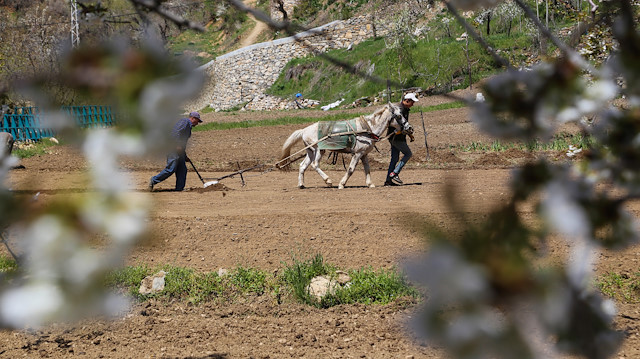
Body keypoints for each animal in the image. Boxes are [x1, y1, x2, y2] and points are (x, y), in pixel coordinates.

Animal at [278, 102, 410, 190]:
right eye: (399, 115)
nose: (409, 127)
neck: (367, 128)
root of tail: (304, 130)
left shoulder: (364, 154)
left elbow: (367, 169)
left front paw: (370, 184)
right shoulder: (357, 154)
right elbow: (351, 169)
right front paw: (342, 184)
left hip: (310, 151)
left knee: (302, 166)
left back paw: (301, 185)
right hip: (319, 150)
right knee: (315, 165)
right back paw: (328, 180)